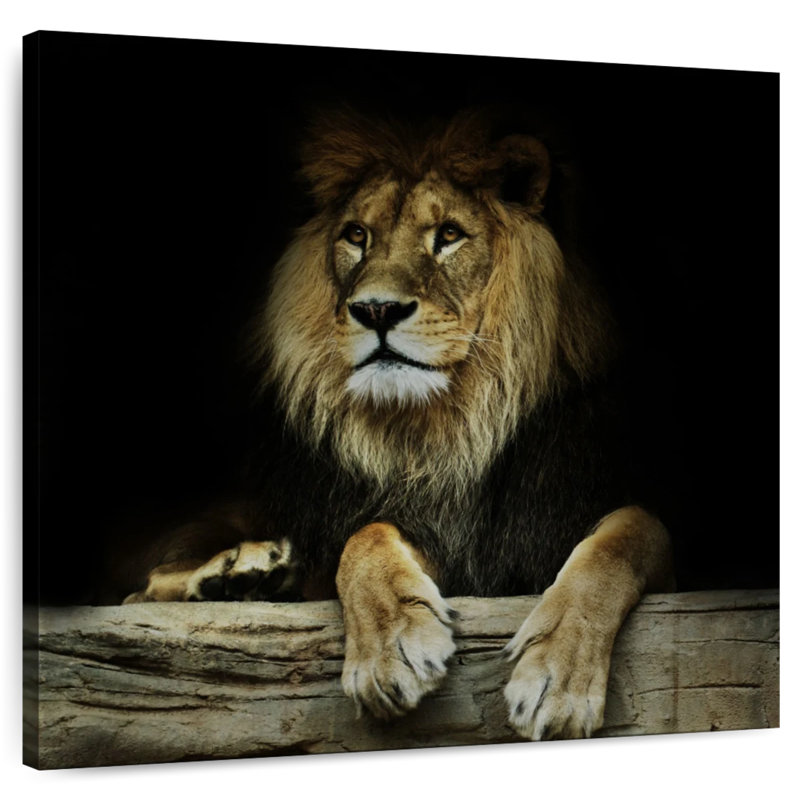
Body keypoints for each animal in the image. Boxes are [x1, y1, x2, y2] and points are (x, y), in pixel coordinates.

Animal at [119, 108, 674, 741]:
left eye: (449, 235)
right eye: (357, 236)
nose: (377, 309)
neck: (454, 427)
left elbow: (629, 535)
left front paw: (556, 677)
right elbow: (364, 537)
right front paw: (391, 650)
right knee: (141, 591)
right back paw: (240, 573)